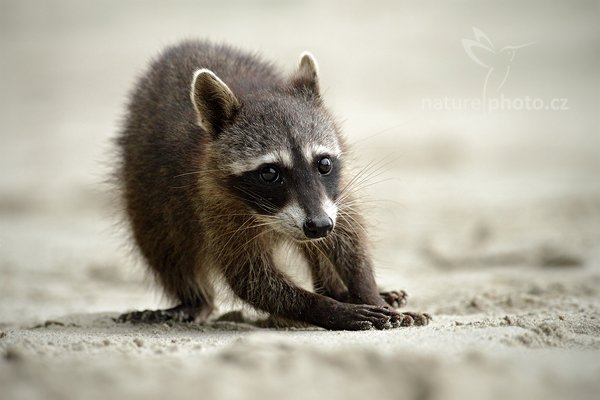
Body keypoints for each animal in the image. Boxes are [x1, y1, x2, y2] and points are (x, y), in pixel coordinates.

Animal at [115, 40, 428, 330]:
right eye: (269, 173)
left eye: (324, 164)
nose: (319, 225)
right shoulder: (214, 204)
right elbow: (253, 280)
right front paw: (329, 308)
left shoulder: (335, 194)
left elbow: (349, 238)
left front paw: (366, 292)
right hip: (147, 193)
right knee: (164, 245)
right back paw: (195, 301)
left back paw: (336, 289)